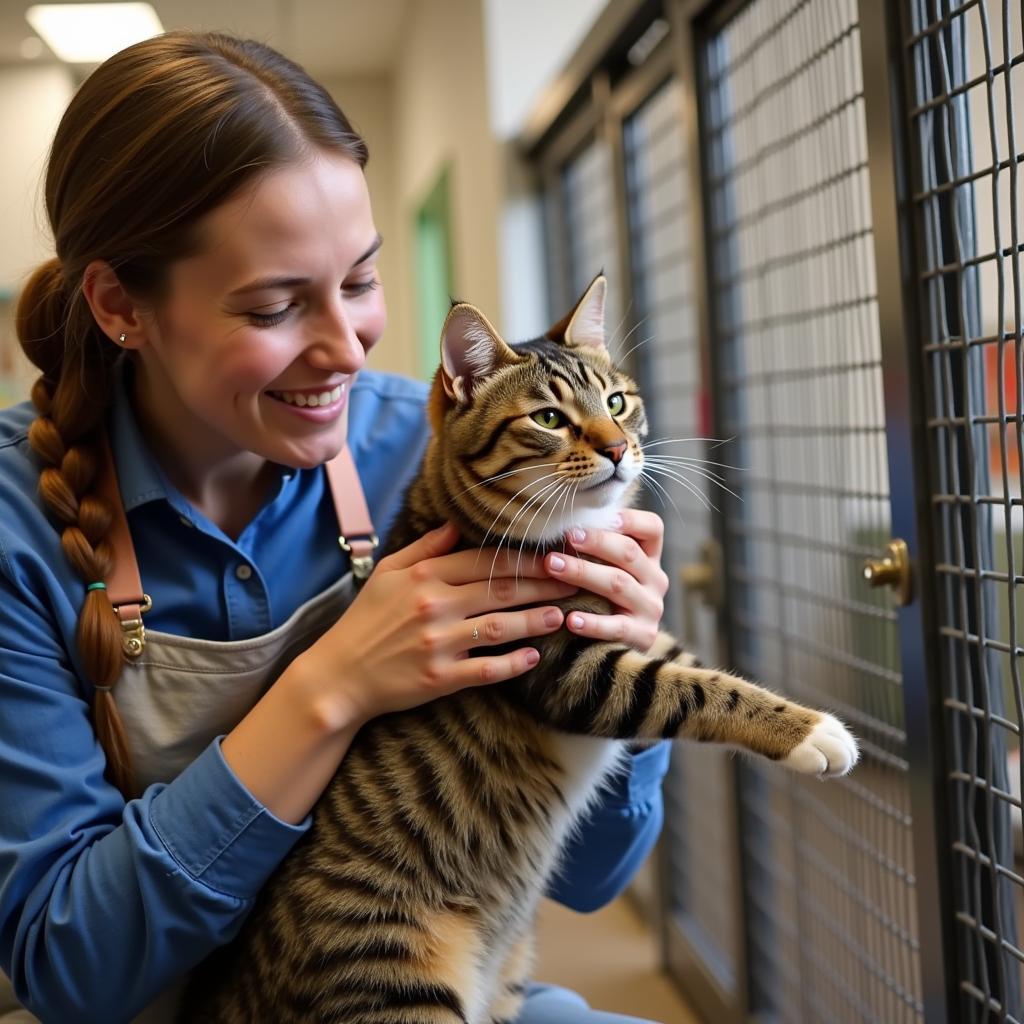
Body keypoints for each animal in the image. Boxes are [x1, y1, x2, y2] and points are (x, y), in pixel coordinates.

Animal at [182, 276, 856, 1019]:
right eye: (550, 419)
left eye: (616, 402)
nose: (618, 449)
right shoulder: (566, 668)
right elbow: (695, 689)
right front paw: (814, 733)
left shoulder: (630, 628)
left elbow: (688, 662)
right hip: (391, 975)